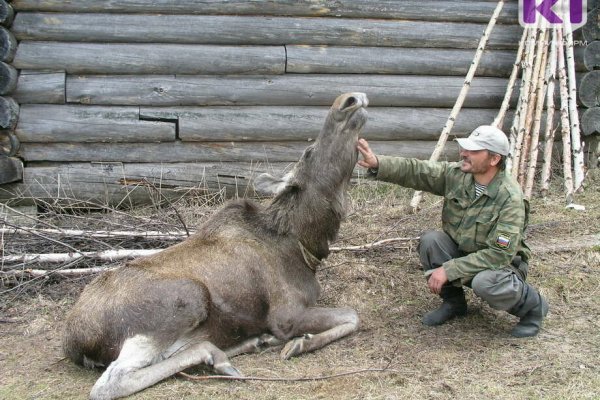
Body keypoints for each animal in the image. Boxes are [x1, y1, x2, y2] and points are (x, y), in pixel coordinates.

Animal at [63, 91, 368, 400]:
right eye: (308, 152)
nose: (349, 100)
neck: (305, 247)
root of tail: (74, 343)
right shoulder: (286, 315)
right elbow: (353, 315)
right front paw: (299, 344)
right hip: (185, 299)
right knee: (111, 382)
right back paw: (218, 356)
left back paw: (250, 342)